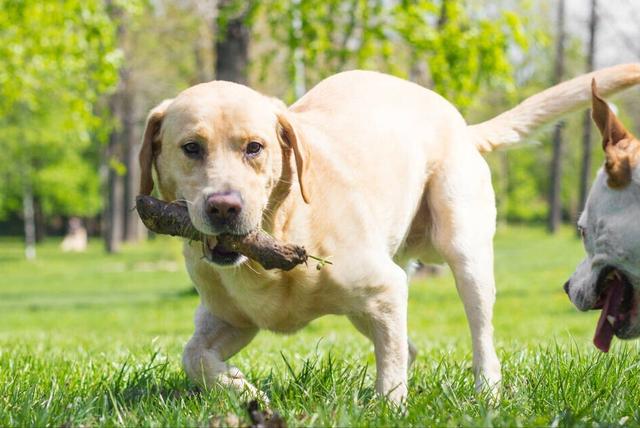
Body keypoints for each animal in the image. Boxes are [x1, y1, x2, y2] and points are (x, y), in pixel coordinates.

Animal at [139, 62, 640, 402]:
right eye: (191, 148)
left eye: (254, 148)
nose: (225, 207)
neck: (279, 234)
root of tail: (462, 125)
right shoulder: (232, 317)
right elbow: (193, 356)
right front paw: (241, 388)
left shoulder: (384, 286)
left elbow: (393, 374)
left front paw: (388, 406)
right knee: (408, 347)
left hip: (463, 254)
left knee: (478, 338)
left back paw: (486, 391)